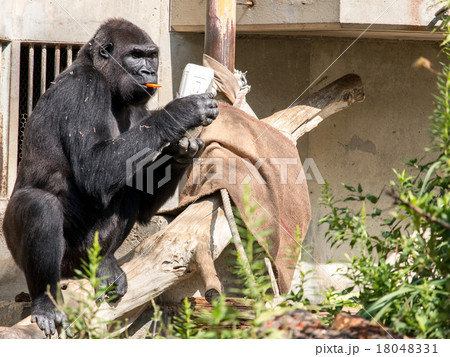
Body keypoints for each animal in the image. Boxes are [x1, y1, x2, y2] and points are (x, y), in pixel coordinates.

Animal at [3, 18, 218, 336]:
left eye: (152, 55)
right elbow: (95, 169)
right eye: (136, 55)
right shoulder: (84, 88)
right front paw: (181, 111)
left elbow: (142, 194)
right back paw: (45, 300)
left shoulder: (138, 107)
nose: (149, 72)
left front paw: (183, 151)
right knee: (38, 204)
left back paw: (104, 264)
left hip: (87, 260)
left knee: (127, 190)